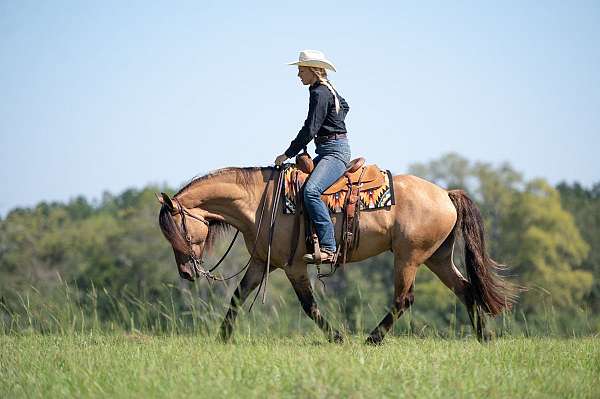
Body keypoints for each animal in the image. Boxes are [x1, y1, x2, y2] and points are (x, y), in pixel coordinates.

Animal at [156, 164, 516, 346]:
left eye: (177, 230)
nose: (186, 273)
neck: (259, 202)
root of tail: (445, 193)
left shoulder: (294, 266)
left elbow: (309, 305)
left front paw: (338, 337)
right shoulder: (261, 262)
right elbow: (237, 296)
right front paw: (223, 337)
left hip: (409, 257)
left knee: (404, 299)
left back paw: (372, 339)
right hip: (437, 257)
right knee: (465, 289)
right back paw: (484, 337)